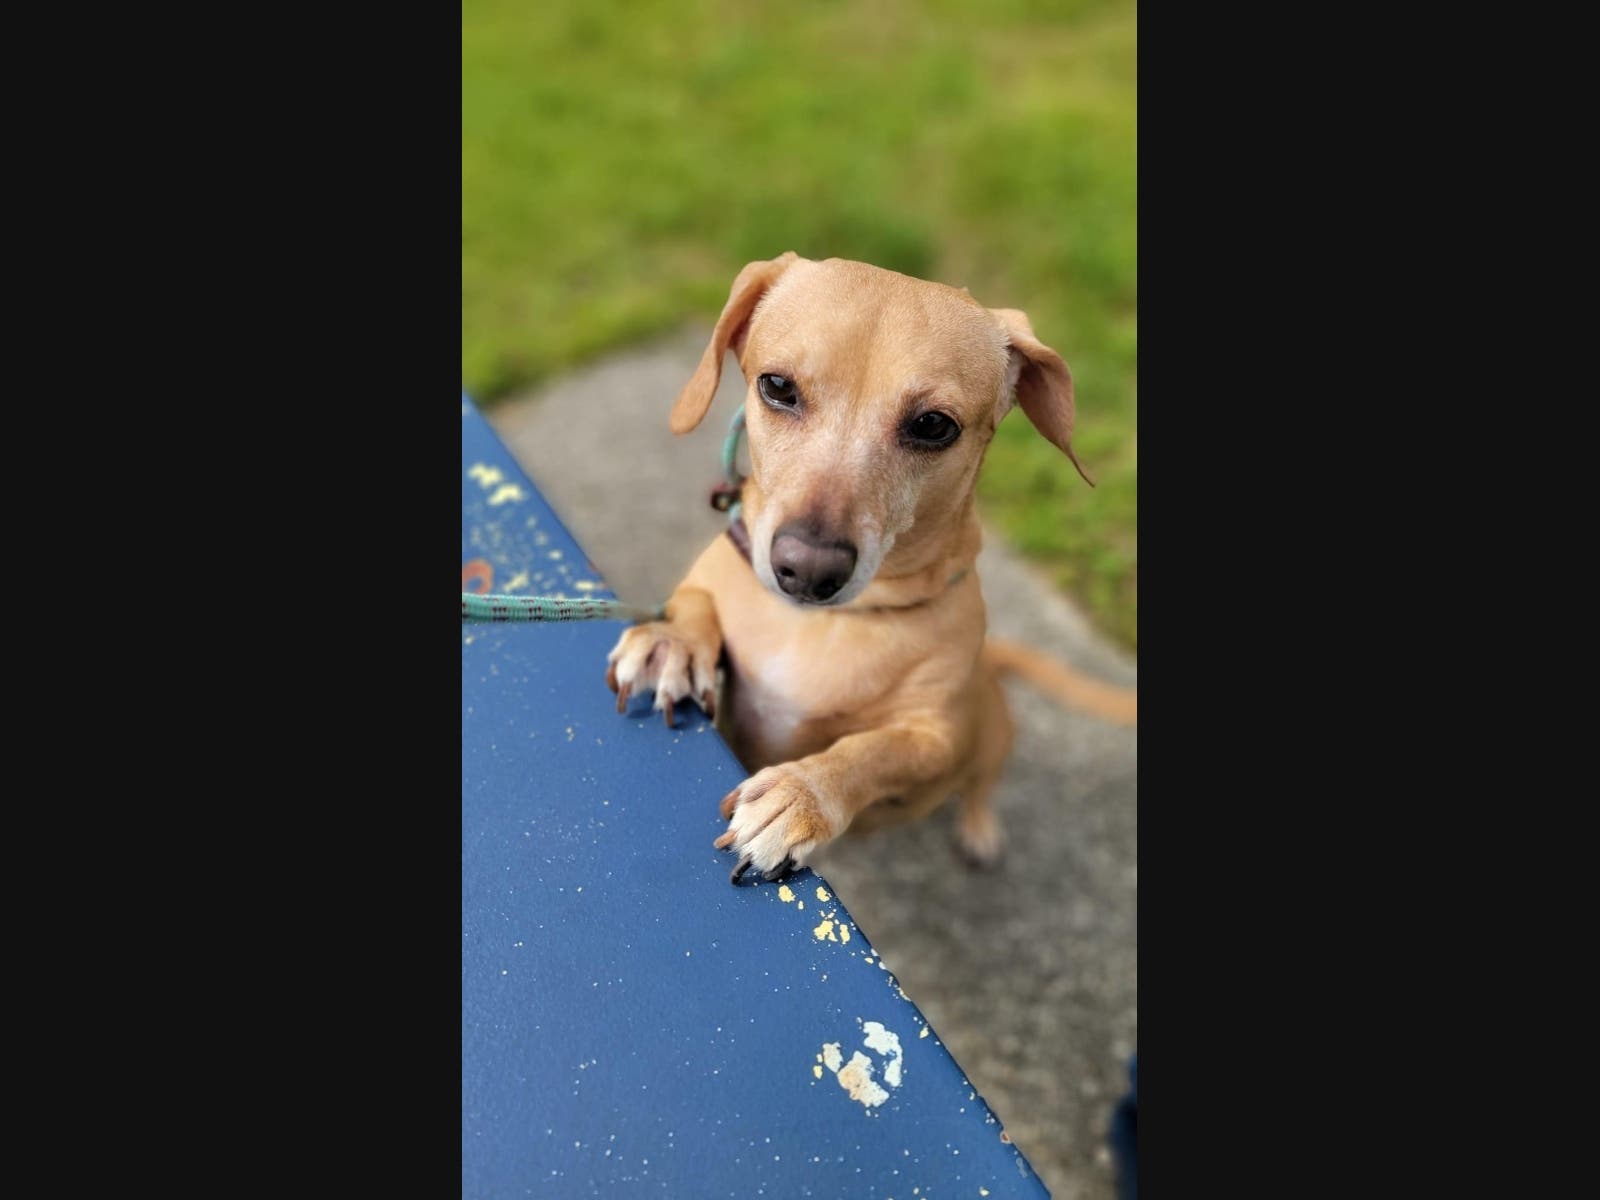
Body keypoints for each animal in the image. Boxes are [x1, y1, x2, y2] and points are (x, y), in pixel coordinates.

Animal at [601, 251, 1139, 883]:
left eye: (934, 425)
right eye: (777, 386)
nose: (806, 570)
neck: (819, 625)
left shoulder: (933, 738)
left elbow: (870, 752)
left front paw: (802, 794)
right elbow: (694, 601)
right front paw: (674, 641)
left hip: (993, 741)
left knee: (981, 786)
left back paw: (980, 830)